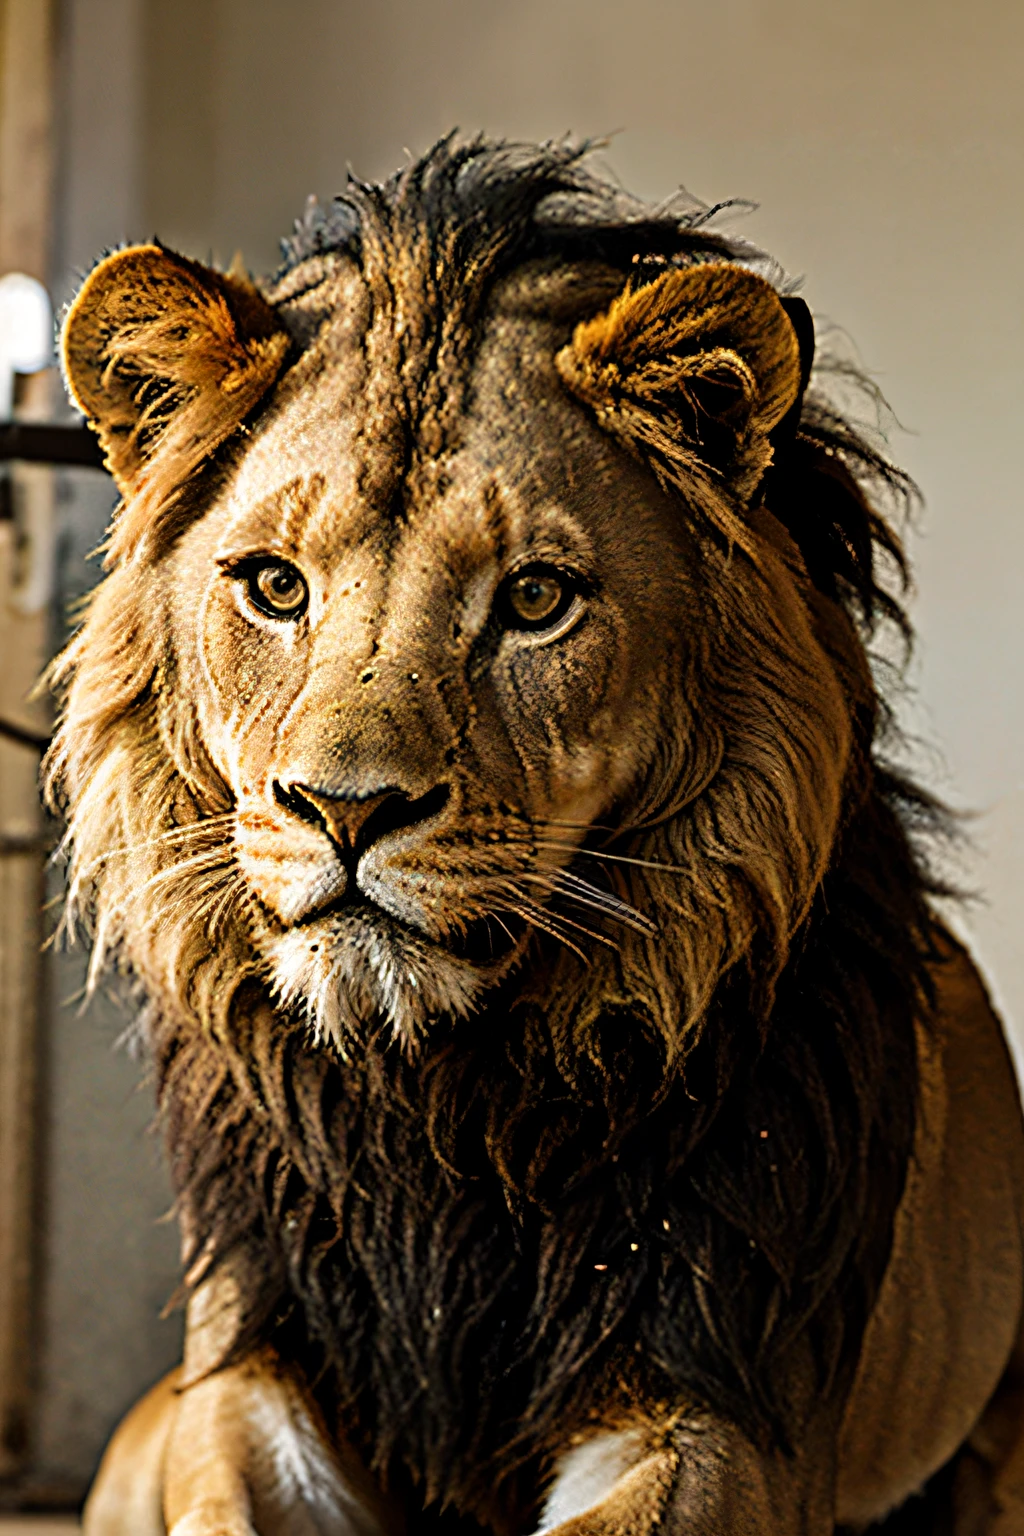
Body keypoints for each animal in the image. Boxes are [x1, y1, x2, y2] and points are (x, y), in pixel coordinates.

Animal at [46, 138, 1024, 1529]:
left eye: (535, 600)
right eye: (275, 587)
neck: (435, 1106)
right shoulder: (250, 1365)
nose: (346, 810)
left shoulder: (718, 1410)